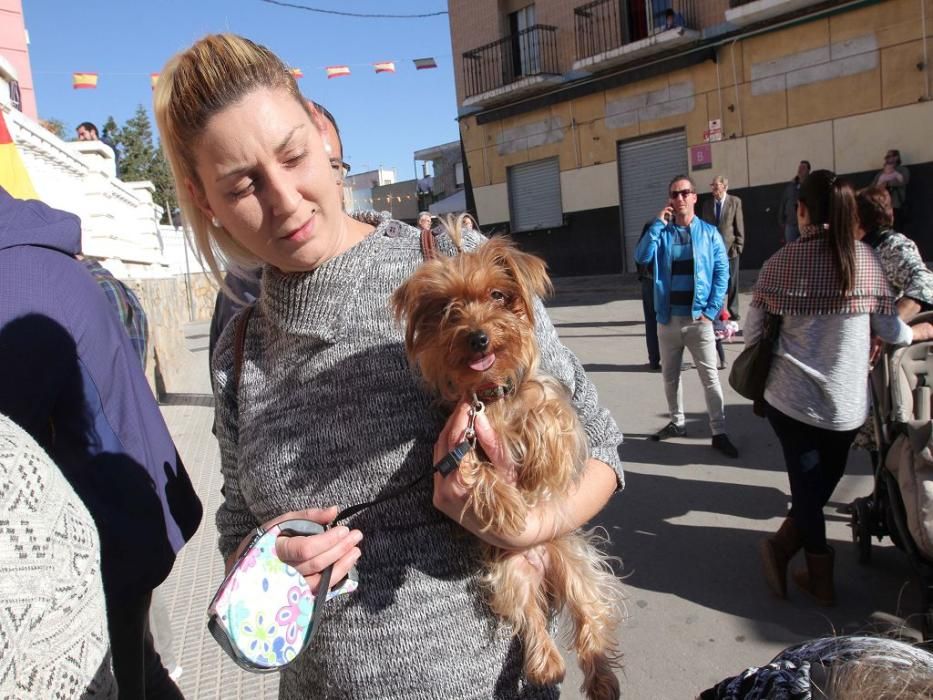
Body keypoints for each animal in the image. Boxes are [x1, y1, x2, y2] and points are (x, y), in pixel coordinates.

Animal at [390, 227, 624, 696]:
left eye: (498, 295)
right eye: (448, 310)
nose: (478, 337)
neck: (492, 396)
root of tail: (541, 566)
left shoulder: (550, 403)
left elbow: (547, 415)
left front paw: (534, 470)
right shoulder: (457, 438)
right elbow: (473, 470)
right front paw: (509, 504)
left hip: (575, 561)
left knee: (590, 617)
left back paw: (603, 681)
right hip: (510, 575)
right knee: (529, 618)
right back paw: (545, 665)